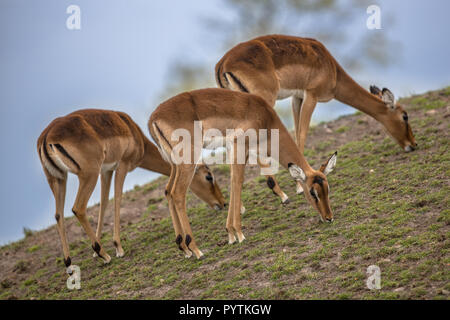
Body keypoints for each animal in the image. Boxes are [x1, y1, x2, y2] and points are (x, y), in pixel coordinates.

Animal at [37, 109, 225, 268]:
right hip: (88, 175)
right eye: (208, 176)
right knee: (78, 208)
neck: (133, 133)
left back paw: (70, 263)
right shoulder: (122, 165)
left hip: (58, 179)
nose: (222, 203)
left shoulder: (106, 170)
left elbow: (104, 203)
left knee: (58, 215)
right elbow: (117, 199)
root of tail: (47, 137)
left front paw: (96, 251)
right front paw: (118, 248)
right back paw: (104, 254)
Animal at [149, 88, 338, 260]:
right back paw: (197, 250)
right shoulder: (239, 146)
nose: (329, 218)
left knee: (168, 191)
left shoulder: (236, 149)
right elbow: (238, 182)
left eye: (328, 189)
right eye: (312, 193)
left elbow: (234, 182)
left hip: (175, 164)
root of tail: (153, 119)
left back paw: (185, 249)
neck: (265, 118)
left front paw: (231, 234)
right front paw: (238, 233)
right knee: (178, 193)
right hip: (188, 161)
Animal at [216, 34, 416, 195]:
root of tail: (223, 63)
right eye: (405, 116)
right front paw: (299, 186)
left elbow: (297, 133)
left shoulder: (297, 97)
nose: (413, 145)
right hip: (264, 101)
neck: (332, 68)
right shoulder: (311, 96)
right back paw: (279, 193)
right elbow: (302, 134)